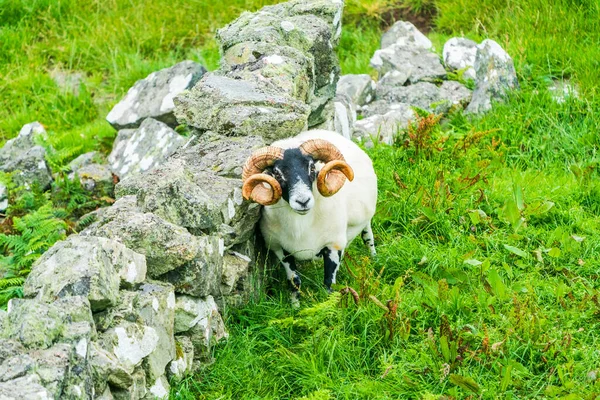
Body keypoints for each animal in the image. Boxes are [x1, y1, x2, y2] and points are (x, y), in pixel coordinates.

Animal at [240, 129, 376, 304]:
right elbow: (294, 281)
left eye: (312, 167)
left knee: (368, 236)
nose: (303, 201)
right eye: (276, 173)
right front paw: (295, 305)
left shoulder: (333, 245)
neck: (301, 226)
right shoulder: (280, 249)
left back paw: (374, 258)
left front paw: (329, 305)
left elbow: (328, 283)